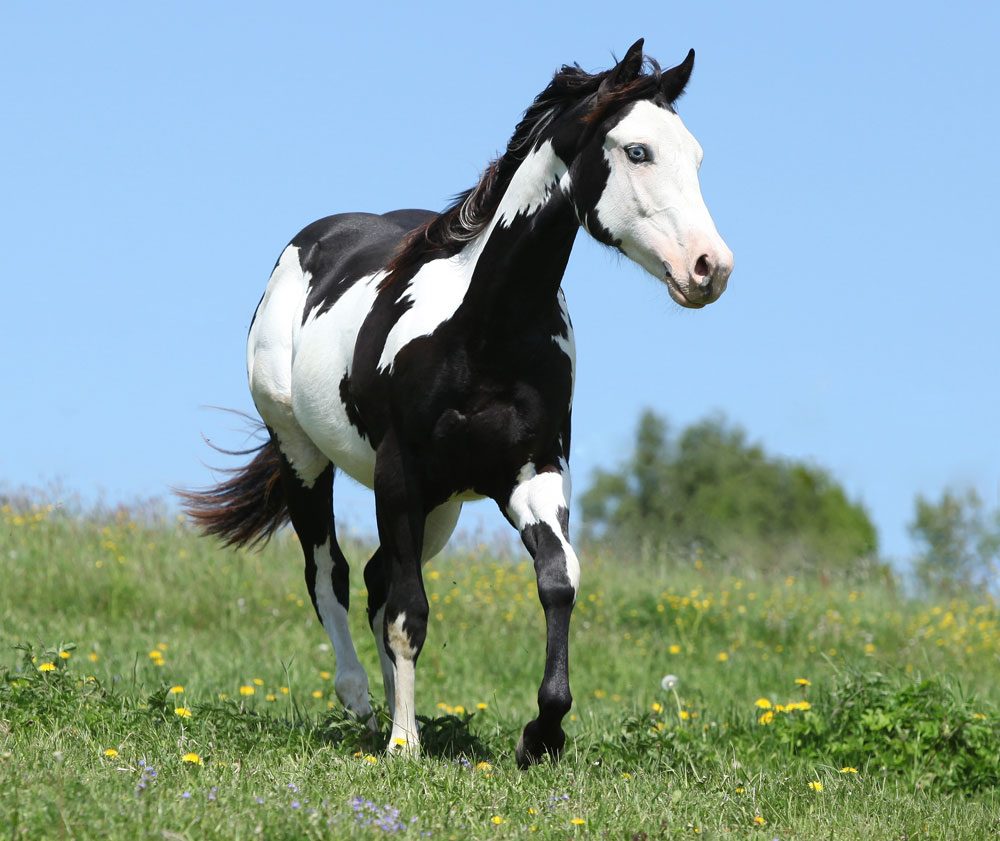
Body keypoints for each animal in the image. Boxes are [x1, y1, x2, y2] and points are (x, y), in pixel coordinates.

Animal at [184, 41, 736, 768]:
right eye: (638, 150)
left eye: (695, 156)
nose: (710, 268)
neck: (482, 335)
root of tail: (312, 242)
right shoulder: (400, 476)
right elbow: (407, 612)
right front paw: (404, 742)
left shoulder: (533, 475)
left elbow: (557, 579)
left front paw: (541, 735)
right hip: (306, 456)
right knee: (330, 573)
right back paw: (362, 704)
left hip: (441, 507)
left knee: (376, 577)